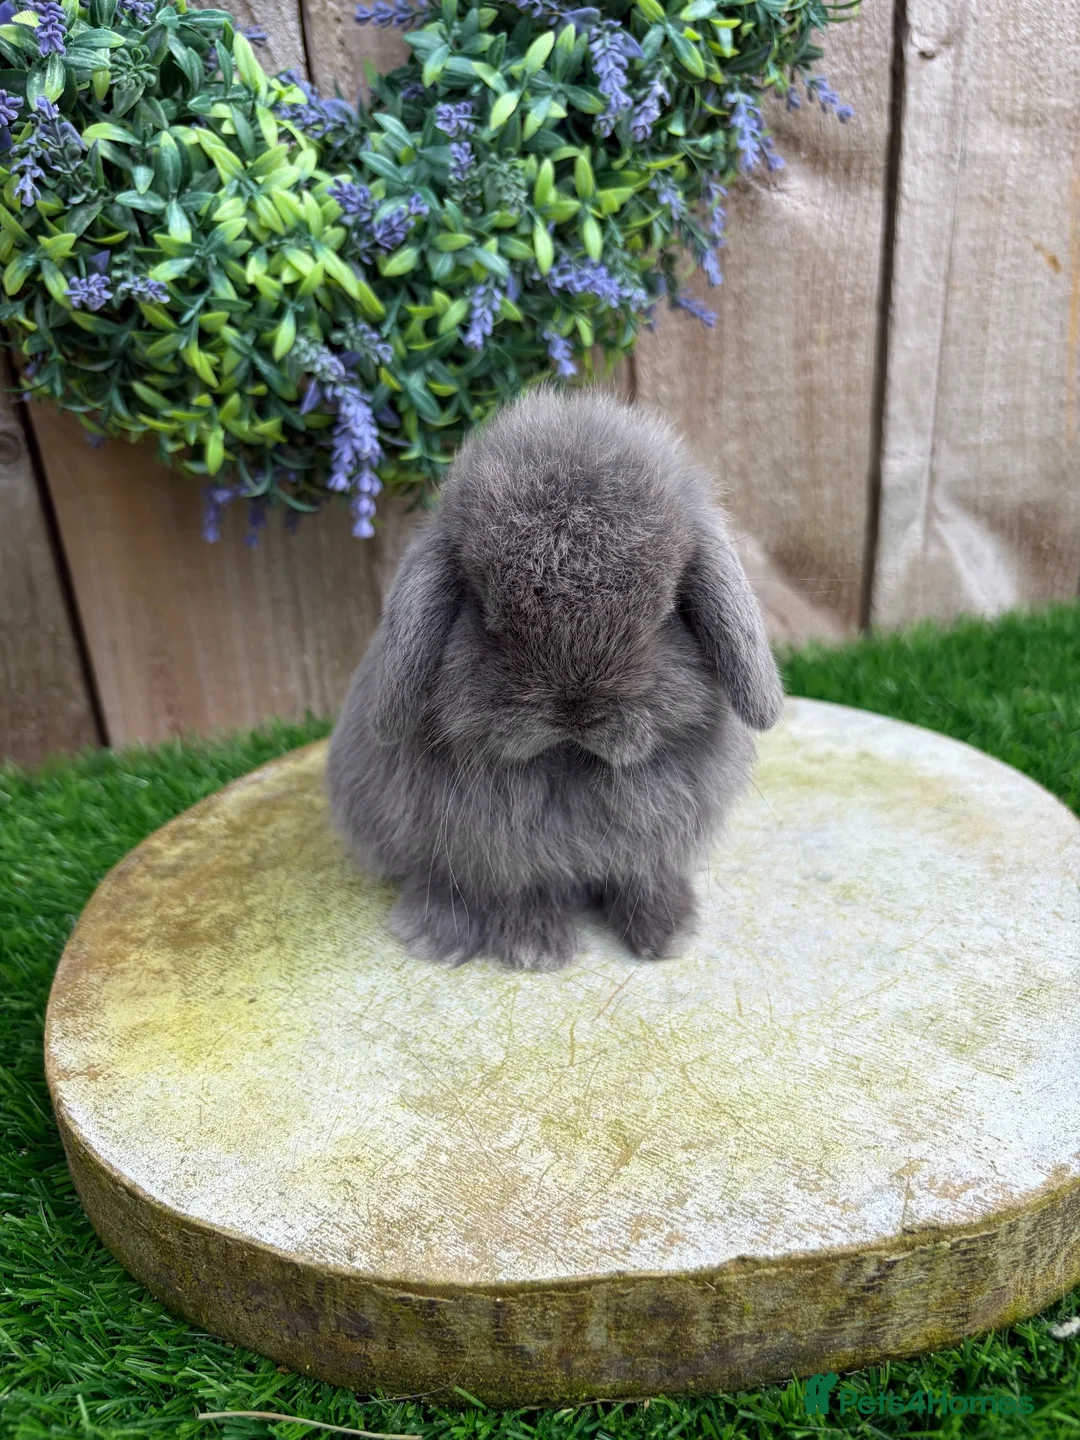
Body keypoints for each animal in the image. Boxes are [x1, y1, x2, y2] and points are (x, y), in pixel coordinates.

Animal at [327, 388, 784, 971]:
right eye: (485, 614)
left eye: (663, 613)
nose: (574, 709)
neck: (569, 763)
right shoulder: (503, 854)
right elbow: (525, 890)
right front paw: (537, 949)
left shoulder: (648, 846)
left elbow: (642, 878)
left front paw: (668, 932)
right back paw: (440, 937)